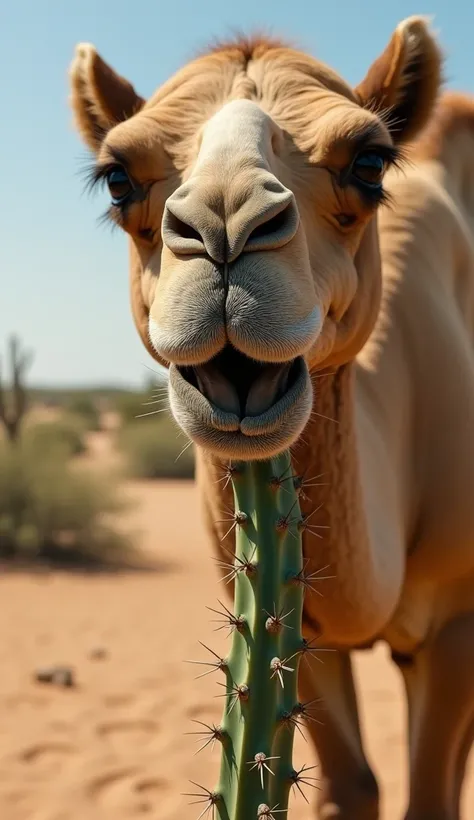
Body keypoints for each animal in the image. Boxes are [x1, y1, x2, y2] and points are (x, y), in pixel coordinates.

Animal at [68, 16, 474, 816]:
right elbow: (350, 785)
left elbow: (430, 797)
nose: (224, 230)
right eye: (118, 177)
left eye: (370, 161)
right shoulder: (284, 616)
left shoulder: (457, 621)